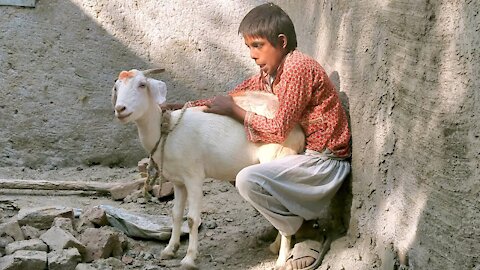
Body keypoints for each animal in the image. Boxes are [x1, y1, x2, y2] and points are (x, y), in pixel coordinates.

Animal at [113, 69, 304, 268]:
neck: (168, 131)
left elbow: (191, 219)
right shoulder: (178, 180)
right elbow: (175, 214)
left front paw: (189, 258)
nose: (120, 109)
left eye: (142, 85)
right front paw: (169, 250)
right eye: (116, 87)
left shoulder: (194, 176)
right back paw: (275, 247)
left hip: (278, 157)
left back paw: (281, 260)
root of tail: (299, 130)